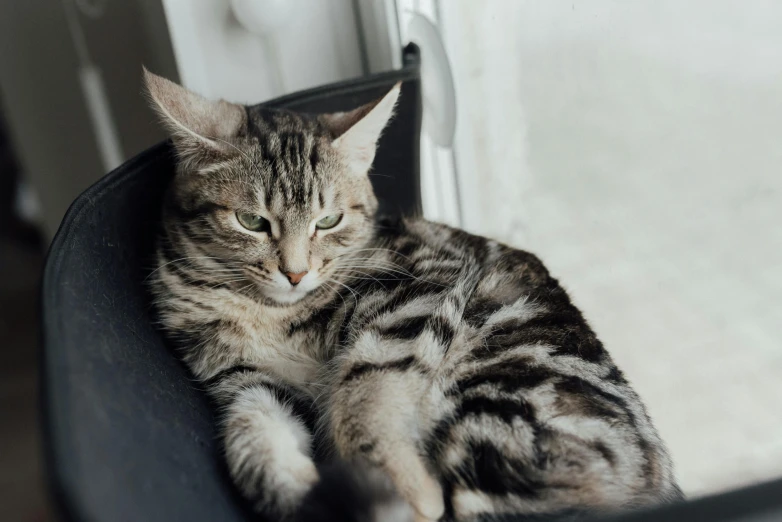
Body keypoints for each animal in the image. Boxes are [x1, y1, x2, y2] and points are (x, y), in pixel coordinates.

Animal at [144, 70, 684, 520]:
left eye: (329, 220)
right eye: (252, 221)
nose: (294, 273)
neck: (271, 313)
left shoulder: (416, 291)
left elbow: (363, 385)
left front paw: (399, 485)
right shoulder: (242, 379)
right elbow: (252, 439)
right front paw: (308, 494)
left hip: (494, 409)